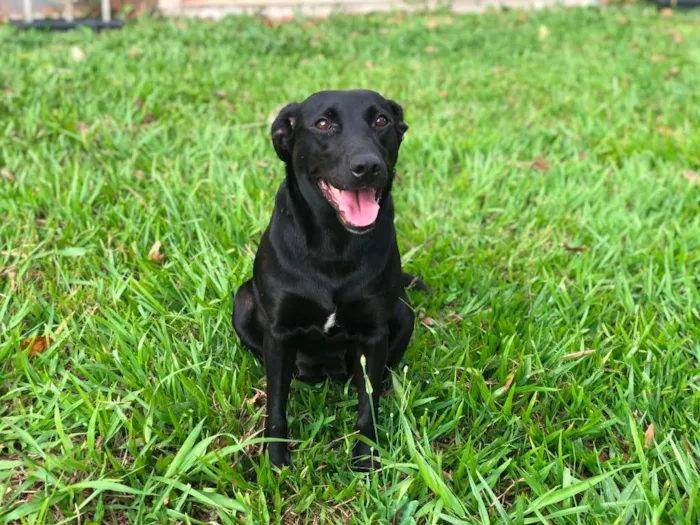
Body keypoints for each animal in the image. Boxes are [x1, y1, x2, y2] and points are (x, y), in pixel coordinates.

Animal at [232, 88, 424, 468]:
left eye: (381, 120)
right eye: (323, 124)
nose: (367, 167)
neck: (334, 244)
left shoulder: (374, 334)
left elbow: (368, 403)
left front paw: (366, 458)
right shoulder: (279, 333)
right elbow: (277, 403)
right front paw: (276, 461)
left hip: (404, 312)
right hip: (242, 302)